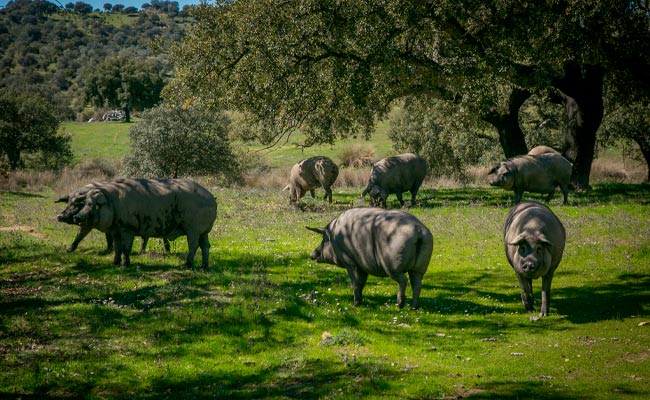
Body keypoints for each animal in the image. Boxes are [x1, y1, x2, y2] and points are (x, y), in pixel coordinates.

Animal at [72, 178, 216, 269]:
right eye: (86, 203)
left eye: (95, 204)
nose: (77, 217)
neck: (114, 203)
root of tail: (212, 198)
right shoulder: (116, 231)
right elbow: (117, 248)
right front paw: (114, 263)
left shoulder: (127, 228)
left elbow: (126, 248)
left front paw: (124, 266)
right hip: (204, 231)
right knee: (205, 246)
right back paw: (204, 267)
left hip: (193, 229)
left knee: (193, 245)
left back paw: (187, 265)